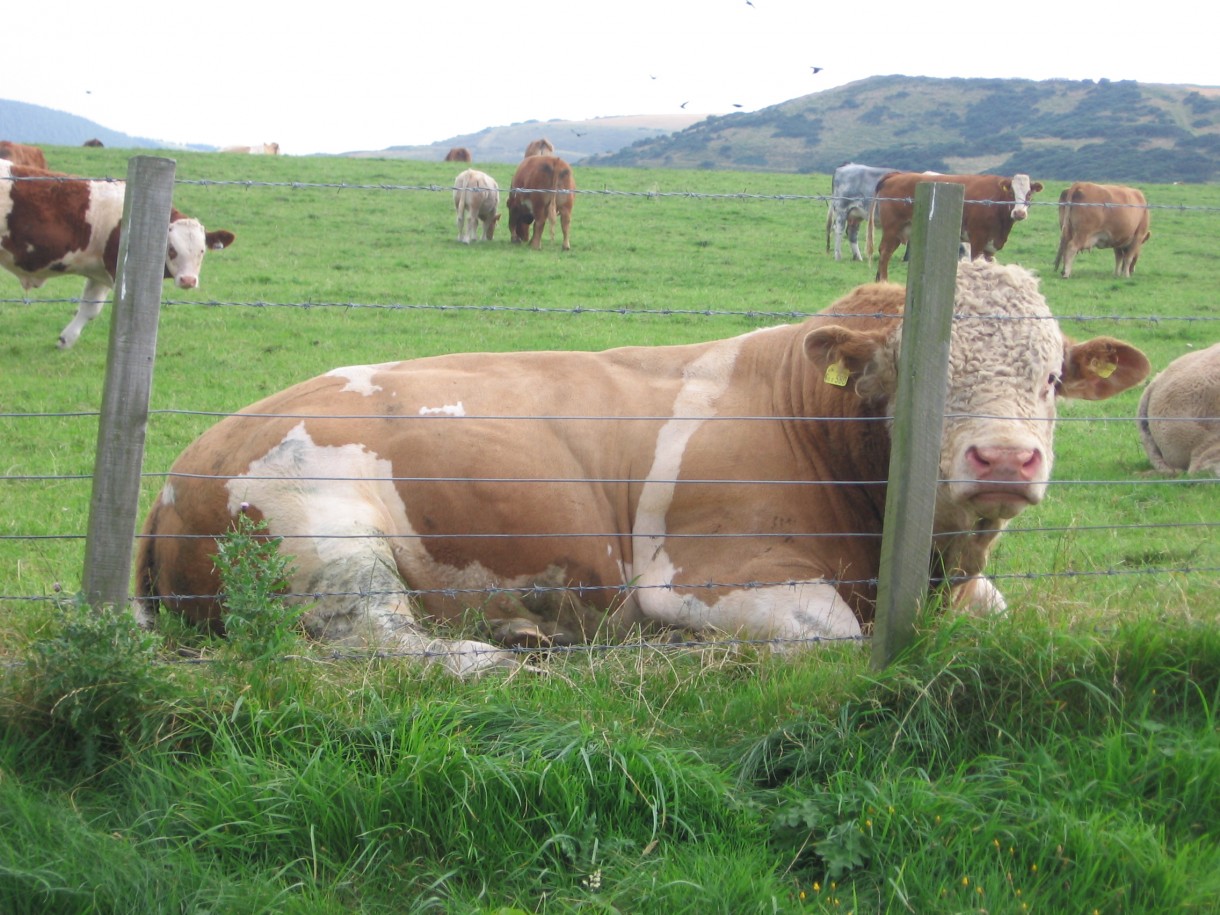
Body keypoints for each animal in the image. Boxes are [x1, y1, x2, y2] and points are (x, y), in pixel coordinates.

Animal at [0, 161, 235, 346]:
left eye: (202, 251)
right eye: (171, 249)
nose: (188, 280)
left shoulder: (99, 273)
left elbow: (89, 307)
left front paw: (66, 339)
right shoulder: (117, 269)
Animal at [138, 261, 1146, 678]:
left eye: (1050, 376)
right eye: (918, 373)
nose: (1004, 458)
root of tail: (181, 469)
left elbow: (997, 612)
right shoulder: (699, 575)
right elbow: (830, 633)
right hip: (328, 537)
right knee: (369, 637)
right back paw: (492, 653)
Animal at [863, 173, 1044, 283]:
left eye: (1029, 194)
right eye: (1012, 193)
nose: (1019, 213)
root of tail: (897, 174)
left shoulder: (991, 245)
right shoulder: (977, 238)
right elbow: (975, 263)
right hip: (892, 228)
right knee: (885, 252)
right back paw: (884, 281)